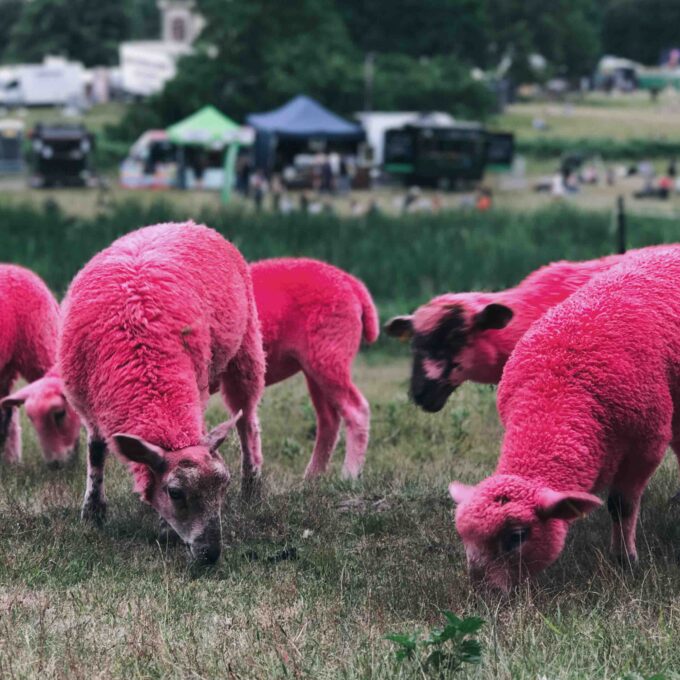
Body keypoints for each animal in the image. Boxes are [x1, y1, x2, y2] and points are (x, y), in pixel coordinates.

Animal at [59, 223, 266, 564]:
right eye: (175, 493)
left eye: (223, 485)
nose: (210, 553)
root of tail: (188, 223)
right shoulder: (87, 403)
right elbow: (96, 451)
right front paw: (93, 512)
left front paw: (164, 529)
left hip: (247, 347)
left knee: (247, 421)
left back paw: (253, 487)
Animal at [250, 256, 380, 478]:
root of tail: (352, 283)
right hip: (315, 365)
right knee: (329, 420)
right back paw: (312, 478)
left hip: (330, 355)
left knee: (356, 411)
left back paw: (348, 475)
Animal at [448, 247, 680, 592]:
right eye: (464, 537)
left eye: (517, 536)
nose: (483, 592)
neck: (558, 390)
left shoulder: (647, 443)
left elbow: (621, 504)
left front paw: (625, 560)